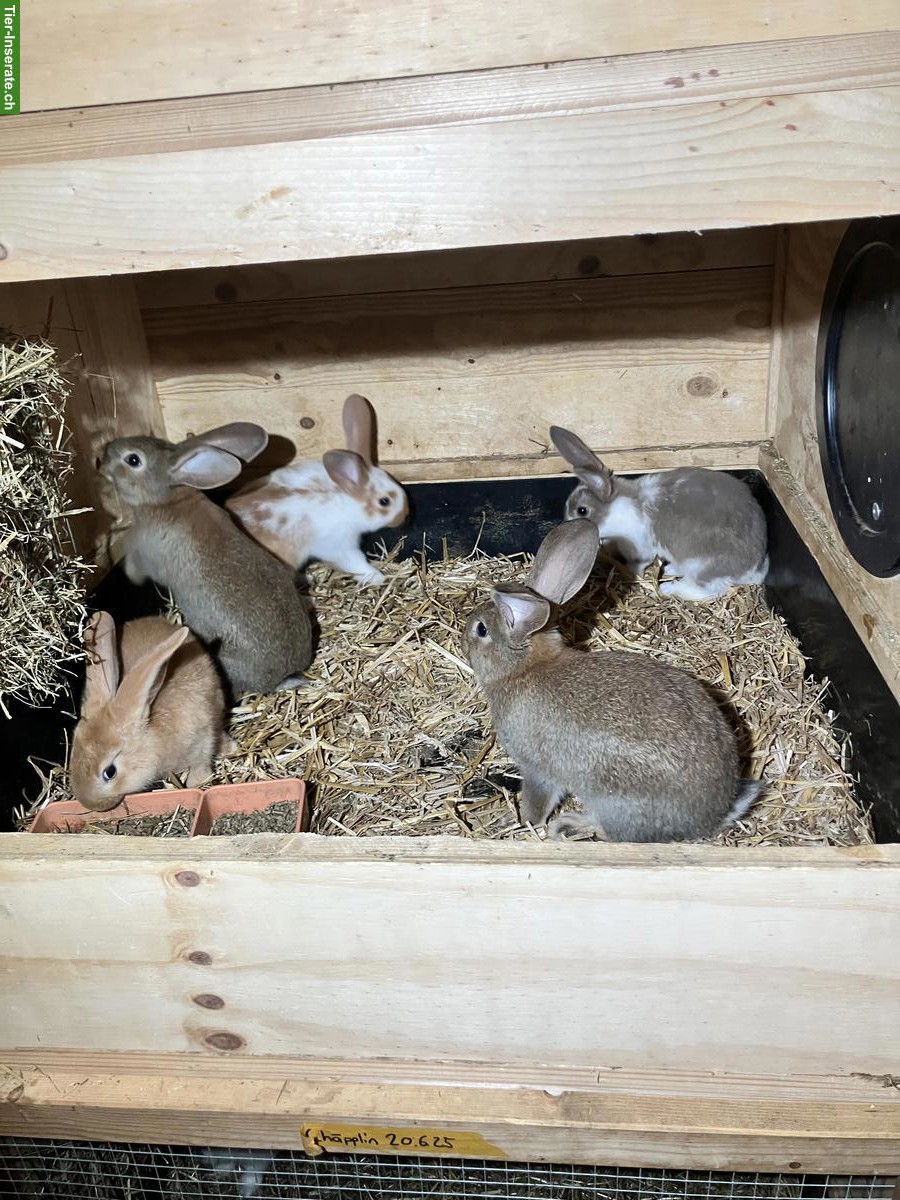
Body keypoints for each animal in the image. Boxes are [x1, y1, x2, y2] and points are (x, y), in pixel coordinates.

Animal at [70, 611, 228, 812]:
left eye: (110, 772)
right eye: (72, 753)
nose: (89, 804)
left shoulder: (202, 738)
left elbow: (201, 763)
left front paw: (197, 782)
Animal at [98, 422, 313, 696]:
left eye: (133, 459)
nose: (103, 454)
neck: (168, 498)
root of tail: (286, 672)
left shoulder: (145, 552)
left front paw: (131, 576)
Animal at [226, 393, 408, 586]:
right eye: (384, 501)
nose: (405, 515)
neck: (348, 502)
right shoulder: (339, 546)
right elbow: (356, 563)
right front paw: (378, 578)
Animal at [463, 519, 761, 841]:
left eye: (481, 630)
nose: (464, 639)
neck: (523, 668)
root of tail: (713, 816)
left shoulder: (535, 769)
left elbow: (538, 799)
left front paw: (524, 822)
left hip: (614, 802)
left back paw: (571, 824)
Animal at [550, 425, 768, 600]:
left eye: (582, 510)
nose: (566, 528)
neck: (617, 509)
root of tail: (752, 568)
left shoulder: (640, 547)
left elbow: (640, 562)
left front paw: (631, 573)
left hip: (701, 567)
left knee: (706, 591)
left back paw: (668, 588)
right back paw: (671, 569)